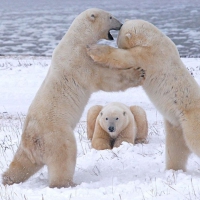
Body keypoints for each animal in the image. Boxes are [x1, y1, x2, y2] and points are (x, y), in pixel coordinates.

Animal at [1, 9, 145, 188]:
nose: (121, 24)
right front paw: (138, 72)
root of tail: (33, 140)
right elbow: (106, 78)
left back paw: (7, 179)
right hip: (57, 135)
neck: (77, 39)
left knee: (22, 164)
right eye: (110, 17)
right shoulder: (81, 63)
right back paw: (67, 183)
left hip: (27, 148)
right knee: (64, 155)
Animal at [87, 20, 200, 173]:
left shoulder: (150, 56)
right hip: (177, 126)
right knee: (175, 149)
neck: (156, 40)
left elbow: (125, 58)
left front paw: (93, 49)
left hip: (191, 121)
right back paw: (173, 170)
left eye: (119, 41)